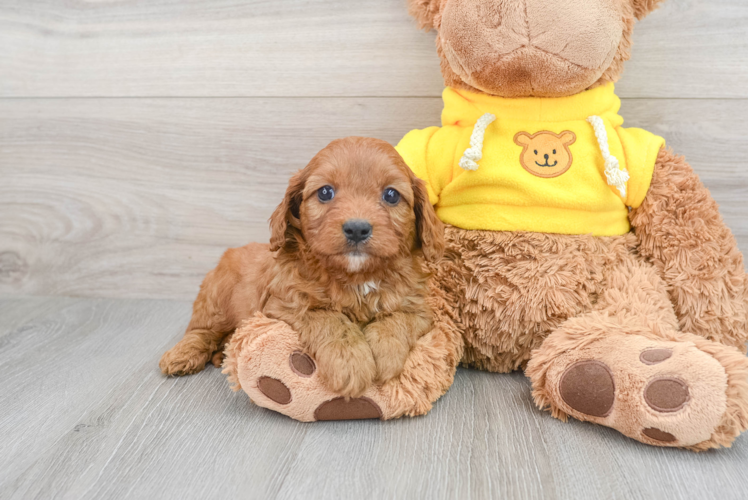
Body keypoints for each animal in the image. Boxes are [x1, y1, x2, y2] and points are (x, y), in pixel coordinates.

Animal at [159, 137, 444, 398]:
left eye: (391, 195)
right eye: (325, 192)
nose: (357, 228)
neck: (357, 276)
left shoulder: (418, 307)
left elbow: (399, 319)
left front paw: (386, 354)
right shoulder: (283, 304)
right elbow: (329, 318)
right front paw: (350, 362)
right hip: (216, 298)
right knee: (201, 330)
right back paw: (180, 356)